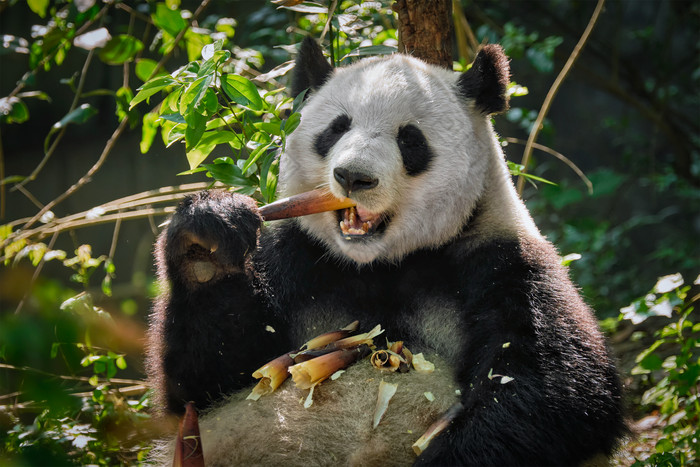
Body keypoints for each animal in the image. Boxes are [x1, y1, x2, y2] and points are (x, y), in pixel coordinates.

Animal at [146, 38, 624, 466]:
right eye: (336, 128)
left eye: (410, 140)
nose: (353, 177)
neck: (379, 263)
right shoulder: (294, 257)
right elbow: (205, 385)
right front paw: (207, 242)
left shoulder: (502, 261)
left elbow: (552, 389)